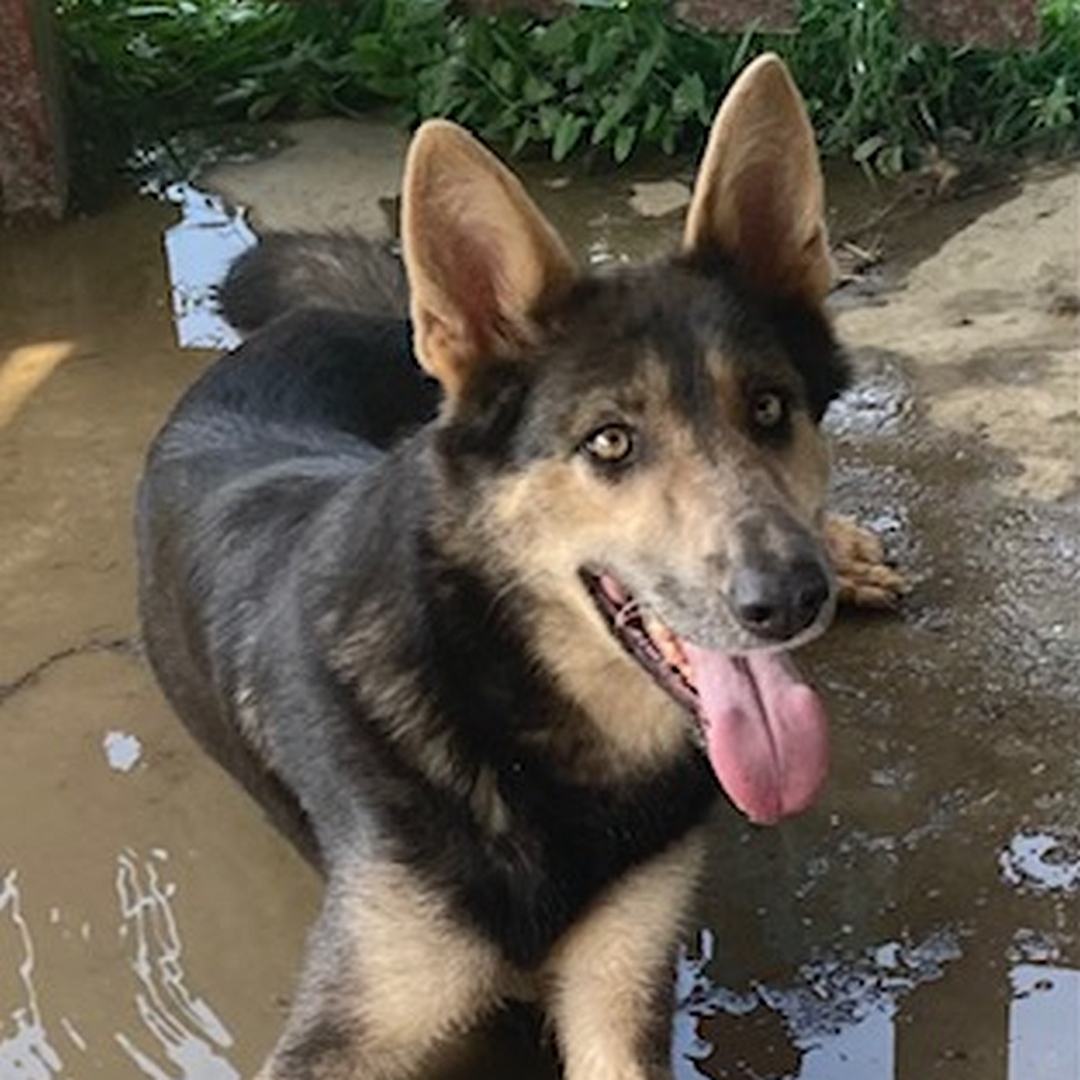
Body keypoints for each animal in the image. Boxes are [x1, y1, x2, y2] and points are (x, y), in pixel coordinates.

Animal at [139, 56, 907, 1080]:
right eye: (610, 442)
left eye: (770, 409)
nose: (789, 600)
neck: (518, 719)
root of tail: (327, 315)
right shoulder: (348, 1027)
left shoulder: (619, 989)